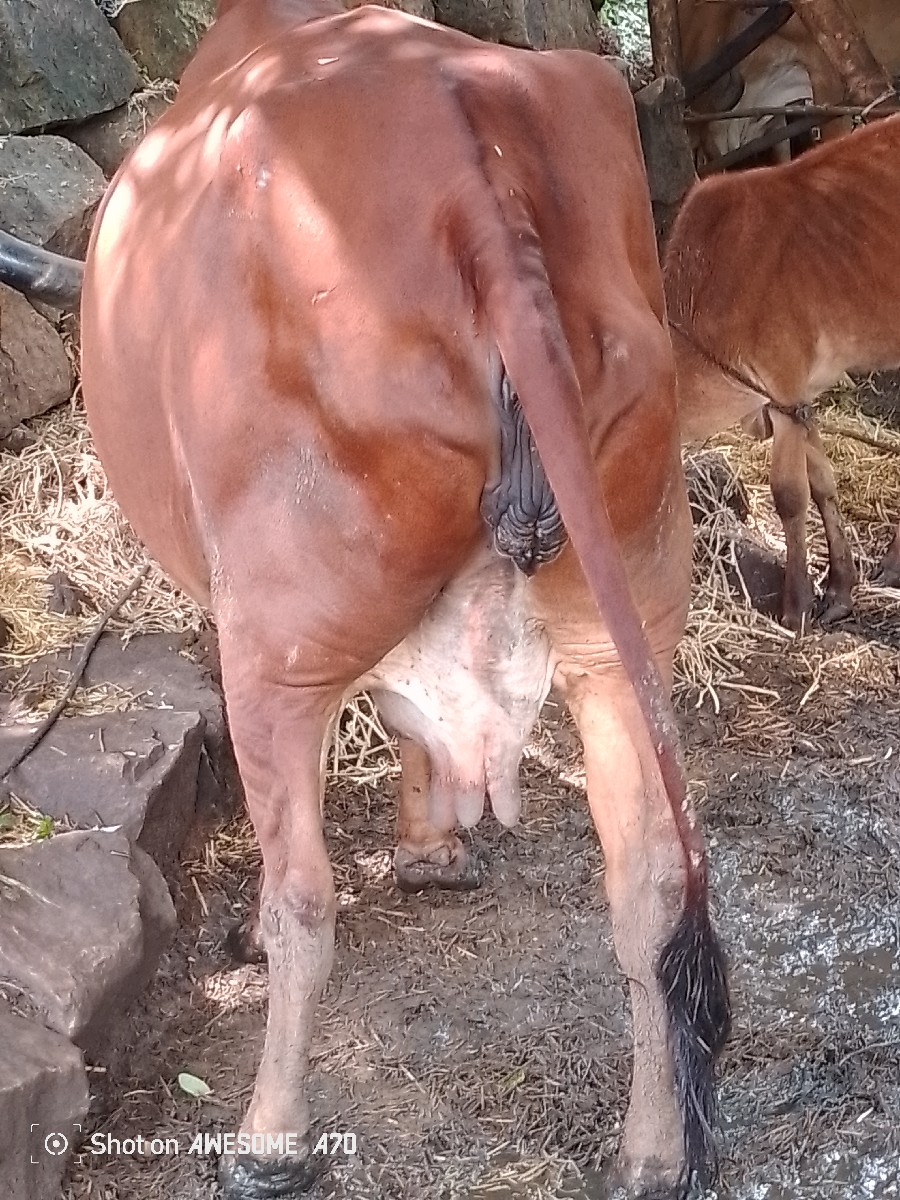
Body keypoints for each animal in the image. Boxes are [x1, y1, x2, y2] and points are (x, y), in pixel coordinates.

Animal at [1, 1, 730, 1195]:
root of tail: (473, 169)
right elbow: (413, 720)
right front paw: (433, 850)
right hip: (624, 616)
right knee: (653, 883)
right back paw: (653, 1148)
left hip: (282, 639)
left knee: (305, 895)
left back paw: (268, 1138)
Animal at [665, 112, 900, 631]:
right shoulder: (793, 398)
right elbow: (823, 481)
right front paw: (839, 590)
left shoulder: (782, 383)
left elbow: (790, 494)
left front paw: (796, 606)